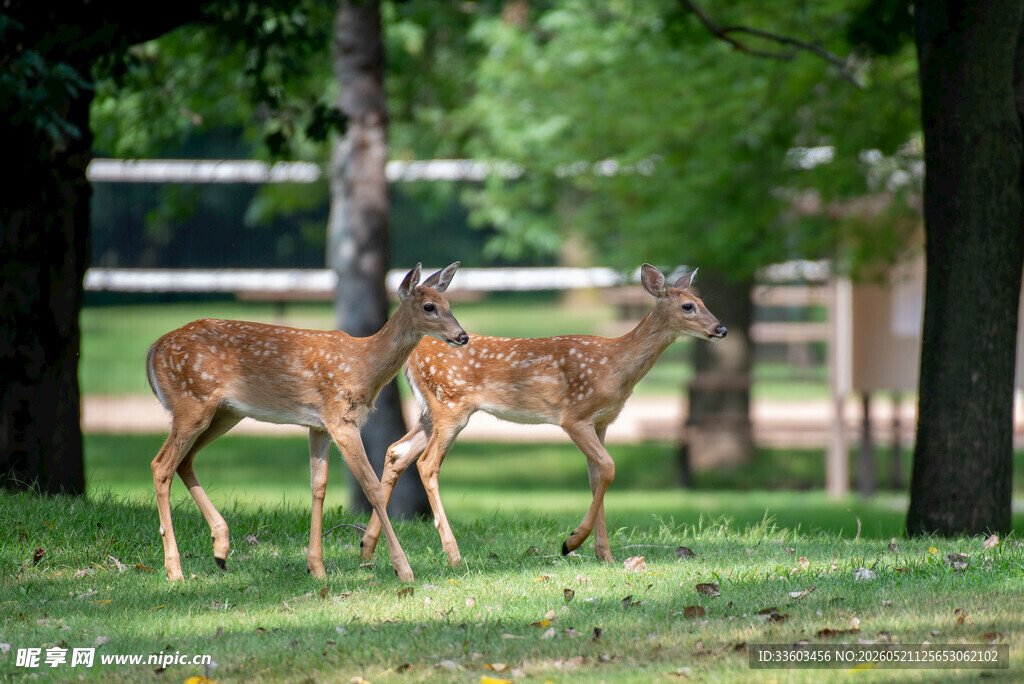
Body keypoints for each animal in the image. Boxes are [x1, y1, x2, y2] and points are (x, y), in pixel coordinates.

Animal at [145, 262, 467, 583]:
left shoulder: (319, 425)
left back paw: (220, 549)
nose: (462, 336)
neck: (363, 365)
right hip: (192, 403)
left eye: (449, 305)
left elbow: (318, 487)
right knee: (161, 465)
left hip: (225, 413)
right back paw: (175, 570)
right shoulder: (341, 419)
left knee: (184, 461)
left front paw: (316, 568)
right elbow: (372, 487)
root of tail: (152, 351)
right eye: (429, 307)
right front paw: (403, 569)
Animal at [359, 263, 726, 568]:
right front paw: (571, 542)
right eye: (688, 306)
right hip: (451, 406)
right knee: (426, 463)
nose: (721, 328)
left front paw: (604, 554)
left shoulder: (602, 422)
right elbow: (609, 468)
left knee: (397, 451)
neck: (615, 365)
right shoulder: (574, 415)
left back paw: (368, 547)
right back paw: (453, 554)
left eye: (702, 300)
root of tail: (412, 355)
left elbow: (597, 477)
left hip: (430, 411)